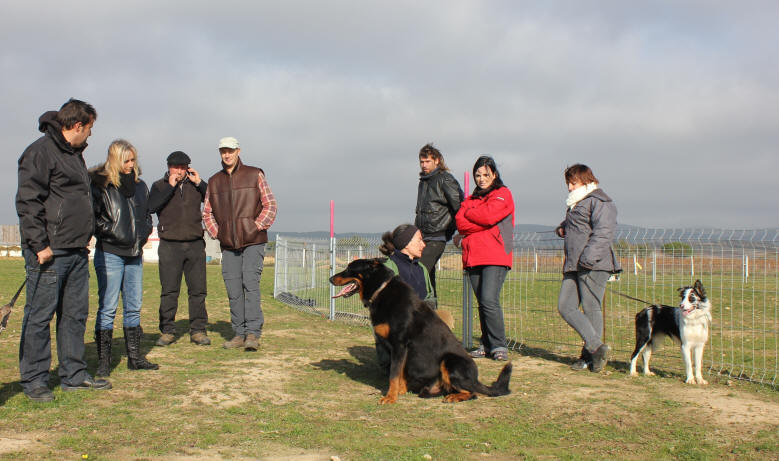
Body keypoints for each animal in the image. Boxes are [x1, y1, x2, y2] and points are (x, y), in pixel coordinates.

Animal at [330, 256, 512, 404]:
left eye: (350, 269)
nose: (331, 278)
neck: (381, 290)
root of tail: (476, 379)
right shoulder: (398, 349)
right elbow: (400, 372)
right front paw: (400, 391)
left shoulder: (399, 345)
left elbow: (394, 374)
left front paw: (390, 397)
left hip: (450, 361)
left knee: (473, 393)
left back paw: (454, 397)